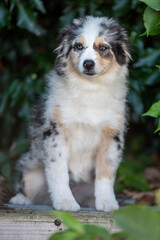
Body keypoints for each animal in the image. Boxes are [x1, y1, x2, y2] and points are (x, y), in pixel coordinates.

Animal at [9, 15, 130, 212]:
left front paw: (107, 202)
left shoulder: (112, 137)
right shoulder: (56, 132)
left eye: (103, 47)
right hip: (29, 167)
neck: (90, 89)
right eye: (78, 46)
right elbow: (58, 172)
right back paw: (21, 199)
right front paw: (65, 202)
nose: (88, 64)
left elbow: (105, 174)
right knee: (27, 187)